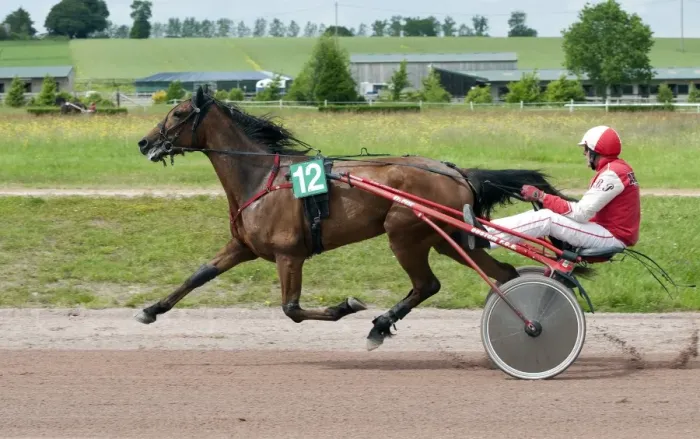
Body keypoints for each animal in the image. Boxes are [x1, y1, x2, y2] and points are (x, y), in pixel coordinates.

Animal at [134, 85, 574, 350]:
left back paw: (379, 325)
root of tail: (455, 171)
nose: (144, 142)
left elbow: (292, 309)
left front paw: (346, 306)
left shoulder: (288, 254)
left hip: (404, 234)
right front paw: (151, 310)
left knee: (427, 284)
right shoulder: (243, 246)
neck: (260, 176)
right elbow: (199, 274)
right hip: (444, 238)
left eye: (178, 113)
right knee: (502, 274)